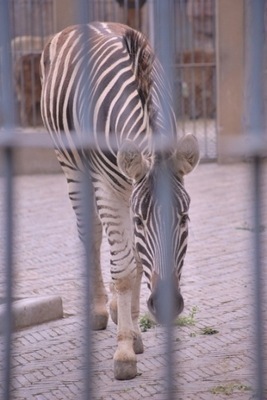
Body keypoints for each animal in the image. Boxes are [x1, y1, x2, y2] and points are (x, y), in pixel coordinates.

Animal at [40, 21, 201, 378]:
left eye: (184, 218)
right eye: (141, 220)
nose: (166, 305)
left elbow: (137, 262)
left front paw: (135, 334)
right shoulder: (108, 188)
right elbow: (124, 270)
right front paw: (125, 351)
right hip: (72, 166)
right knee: (92, 236)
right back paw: (100, 311)